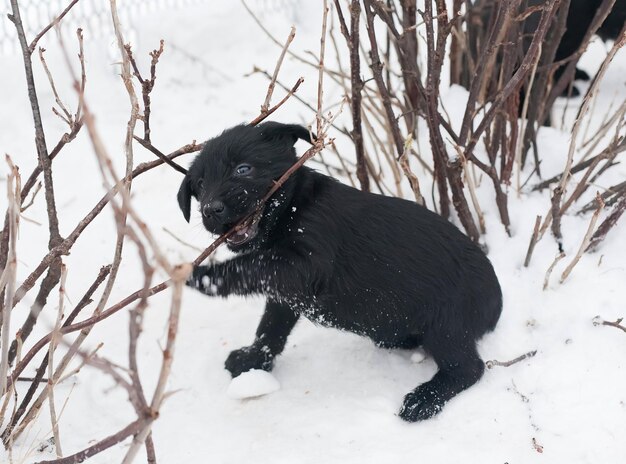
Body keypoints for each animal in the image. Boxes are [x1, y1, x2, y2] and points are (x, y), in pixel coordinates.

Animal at [177, 121, 502, 422]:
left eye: (243, 169)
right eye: (201, 184)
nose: (210, 209)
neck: (293, 207)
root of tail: (495, 303)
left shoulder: (302, 263)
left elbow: (249, 266)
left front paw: (202, 276)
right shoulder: (285, 293)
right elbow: (270, 327)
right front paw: (254, 358)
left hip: (445, 324)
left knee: (467, 368)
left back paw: (424, 399)